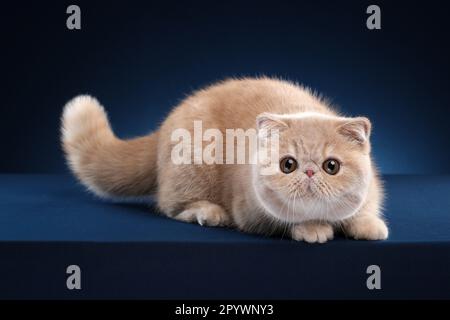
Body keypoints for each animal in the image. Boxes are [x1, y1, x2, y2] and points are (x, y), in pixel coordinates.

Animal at [61, 77, 388, 242]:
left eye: (331, 166)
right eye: (288, 164)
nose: (308, 172)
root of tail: (164, 126)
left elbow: (361, 210)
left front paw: (369, 225)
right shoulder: (250, 213)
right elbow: (286, 222)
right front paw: (312, 229)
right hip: (192, 168)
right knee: (172, 207)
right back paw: (209, 213)